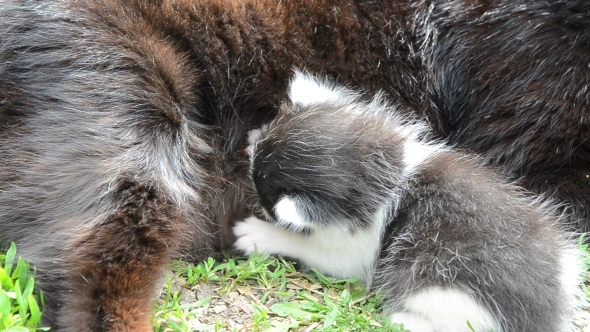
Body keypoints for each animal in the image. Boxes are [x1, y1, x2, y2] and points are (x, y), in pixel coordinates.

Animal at [235, 72, 584, 332]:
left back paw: (402, 319)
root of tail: (545, 312)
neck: (389, 177)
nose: (249, 144)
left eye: (261, 194)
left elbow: (302, 243)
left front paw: (257, 233)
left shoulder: (352, 254)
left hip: (437, 287)